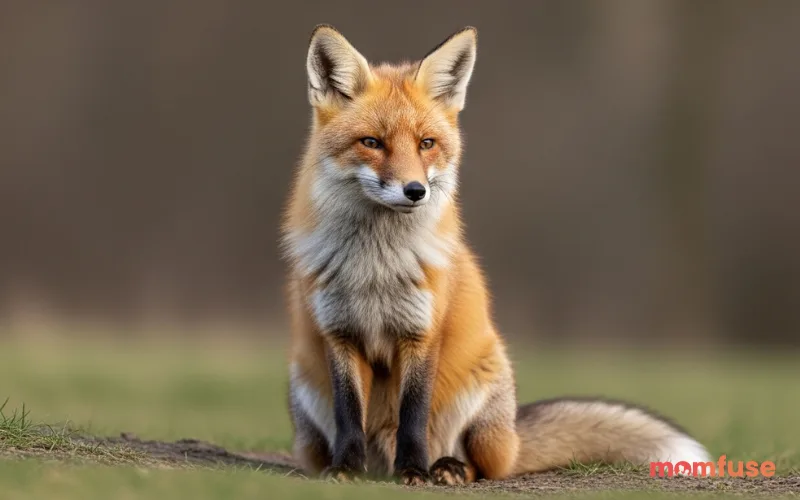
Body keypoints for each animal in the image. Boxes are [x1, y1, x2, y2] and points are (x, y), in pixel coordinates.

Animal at [281, 25, 711, 485]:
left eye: (426, 143)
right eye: (371, 143)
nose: (416, 191)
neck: (375, 267)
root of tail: (514, 436)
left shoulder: (423, 333)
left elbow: (413, 413)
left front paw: (414, 470)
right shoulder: (339, 333)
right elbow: (349, 412)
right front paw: (345, 468)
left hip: (484, 391)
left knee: (484, 466)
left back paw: (446, 467)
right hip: (304, 394)